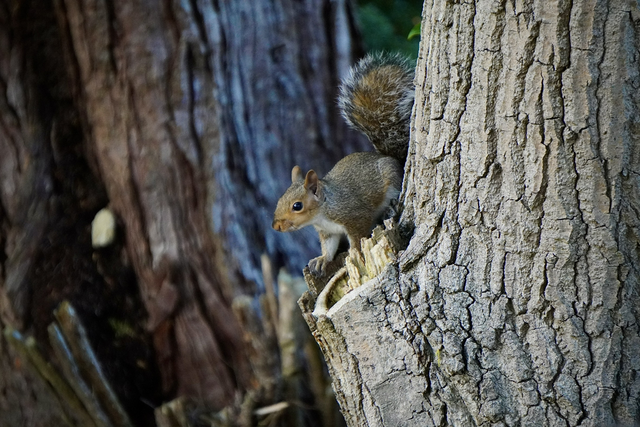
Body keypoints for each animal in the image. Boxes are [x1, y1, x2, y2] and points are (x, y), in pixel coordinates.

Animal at [272, 52, 414, 275]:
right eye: (279, 200)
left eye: (297, 206)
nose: (276, 226)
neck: (323, 211)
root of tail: (392, 159)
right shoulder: (327, 233)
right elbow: (329, 248)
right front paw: (322, 259)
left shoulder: (354, 216)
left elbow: (357, 238)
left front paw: (354, 252)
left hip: (391, 177)